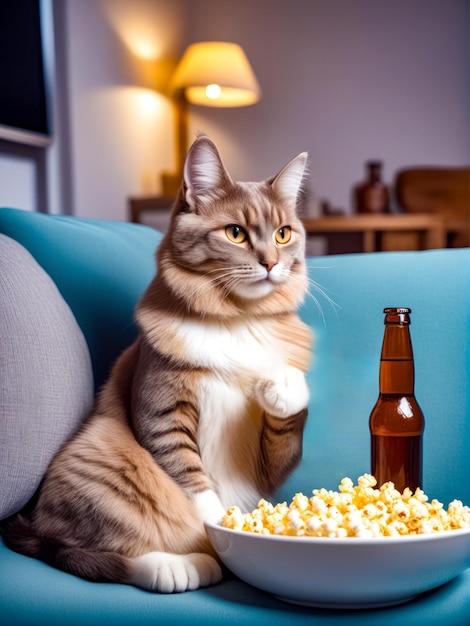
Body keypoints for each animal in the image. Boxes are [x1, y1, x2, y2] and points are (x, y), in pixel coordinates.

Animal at [3, 134, 314, 592]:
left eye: (283, 233)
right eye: (236, 233)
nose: (271, 263)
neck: (237, 317)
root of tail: (32, 523)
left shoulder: (268, 467)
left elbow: (288, 420)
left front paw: (282, 387)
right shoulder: (163, 412)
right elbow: (194, 485)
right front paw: (223, 527)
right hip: (103, 454)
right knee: (83, 553)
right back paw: (180, 567)